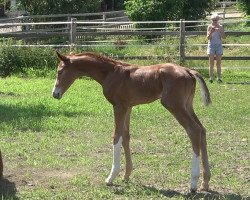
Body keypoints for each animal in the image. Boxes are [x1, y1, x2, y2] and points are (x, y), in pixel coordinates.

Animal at [52, 51, 211, 192]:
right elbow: (126, 137)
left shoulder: (119, 106)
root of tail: (189, 71)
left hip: (174, 105)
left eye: (60, 71)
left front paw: (111, 177)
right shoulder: (128, 107)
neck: (111, 73)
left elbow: (116, 136)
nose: (55, 94)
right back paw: (205, 182)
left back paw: (193, 183)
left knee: (194, 130)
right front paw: (126, 175)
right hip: (187, 105)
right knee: (202, 130)